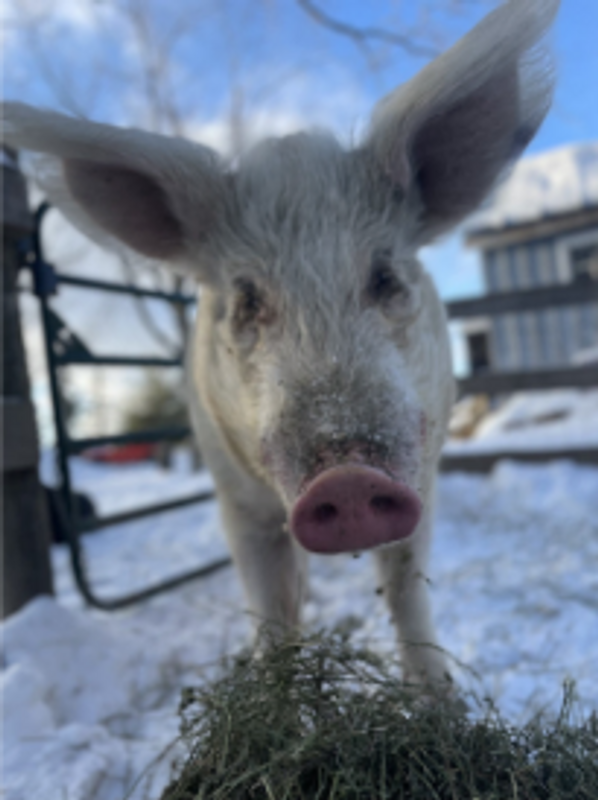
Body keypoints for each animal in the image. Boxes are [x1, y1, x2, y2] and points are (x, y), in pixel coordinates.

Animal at [2, 0, 560, 688]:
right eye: (246, 300)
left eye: (385, 277)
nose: (346, 479)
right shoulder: (236, 497)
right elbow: (269, 601)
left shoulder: (422, 471)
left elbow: (407, 588)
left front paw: (441, 703)